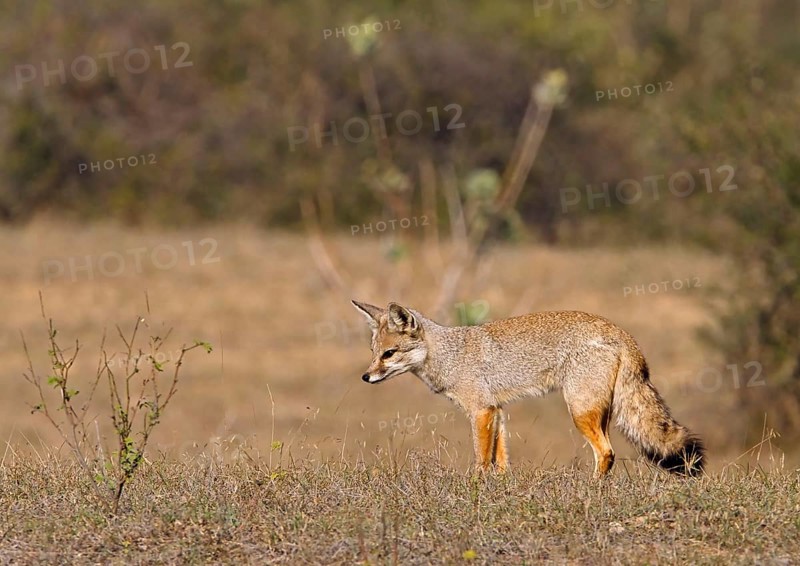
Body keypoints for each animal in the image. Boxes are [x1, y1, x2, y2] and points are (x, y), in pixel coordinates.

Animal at [352, 300, 705, 477]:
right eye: (373, 352)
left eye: (388, 354)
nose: (366, 377)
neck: (451, 354)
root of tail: (620, 332)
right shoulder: (497, 411)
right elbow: (501, 462)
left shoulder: (481, 411)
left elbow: (481, 461)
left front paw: (475, 491)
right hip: (598, 413)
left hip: (580, 412)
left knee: (606, 453)